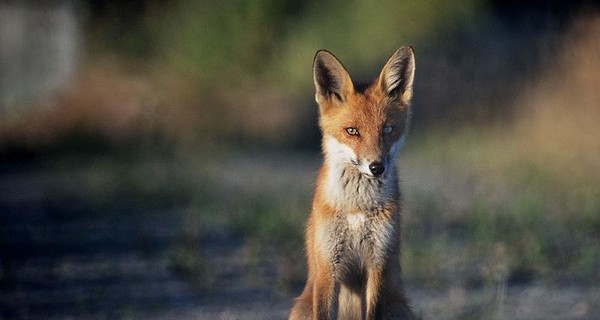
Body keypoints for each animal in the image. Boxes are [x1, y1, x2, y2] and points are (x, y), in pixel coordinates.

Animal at [288, 47, 414, 320]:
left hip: (398, 308)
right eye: (352, 131)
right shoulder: (329, 267)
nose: (376, 167)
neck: (357, 208)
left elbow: (373, 311)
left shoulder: (378, 262)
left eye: (387, 130)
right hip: (301, 309)